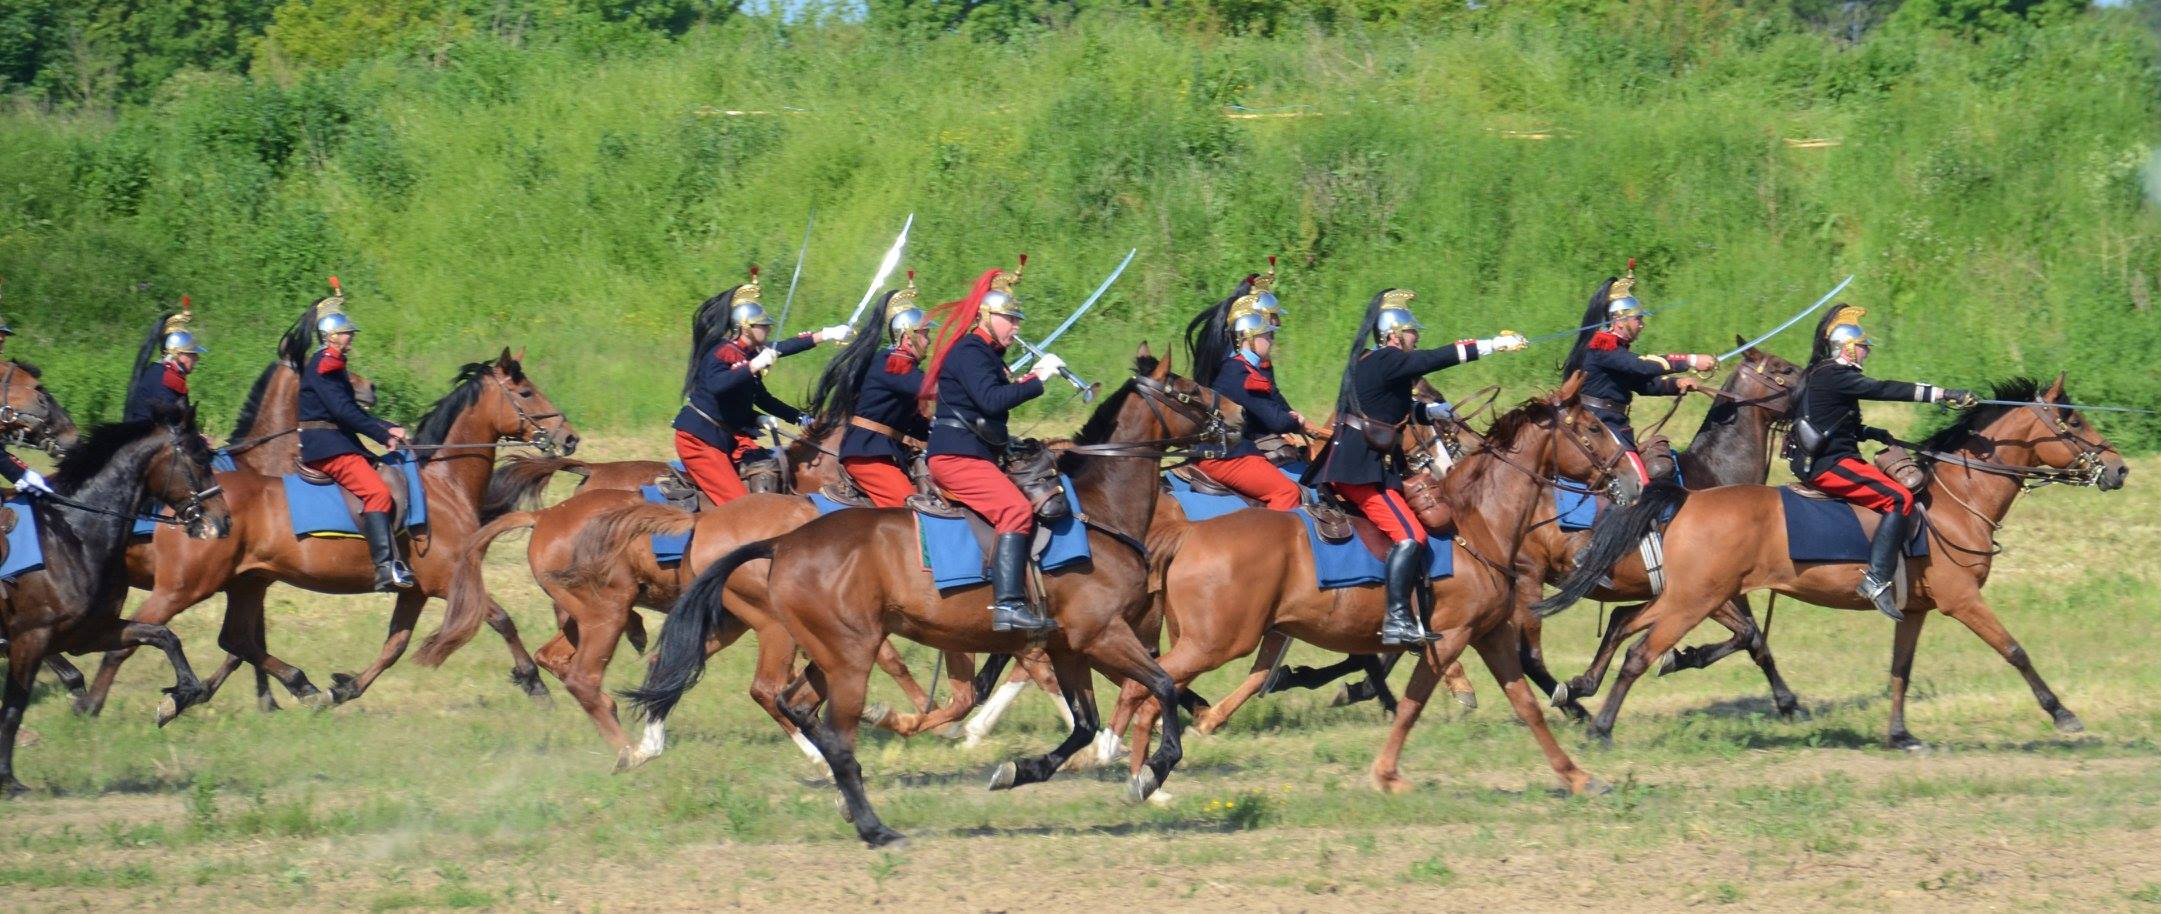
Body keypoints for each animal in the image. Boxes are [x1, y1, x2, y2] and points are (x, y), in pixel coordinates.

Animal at [1, 408, 232, 795]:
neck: (73, 536)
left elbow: (164, 637)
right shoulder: (31, 639)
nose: (223, 521)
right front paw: (8, 780)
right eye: (200, 459)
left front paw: (177, 699)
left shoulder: (89, 633)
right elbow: (13, 709)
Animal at [78, 350, 583, 717]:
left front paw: (344, 689)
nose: (570, 437)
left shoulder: (414, 590)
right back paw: (101, 702)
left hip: (245, 583)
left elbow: (395, 645)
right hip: (185, 586)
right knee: (139, 634)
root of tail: (190, 505)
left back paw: (293, 686)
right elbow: (500, 619)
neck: (442, 483)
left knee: (234, 640)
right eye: (525, 391)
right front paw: (534, 682)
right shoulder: (449, 580)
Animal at [1538, 375, 2126, 747]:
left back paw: (1587, 693)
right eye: (2073, 420)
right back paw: (1601, 725)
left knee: (1624, 626)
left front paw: (1900, 735)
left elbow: (1900, 671)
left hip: (1688, 595)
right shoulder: (1963, 601)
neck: (1954, 502)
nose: (2119, 469)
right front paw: (2063, 714)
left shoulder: (1915, 611)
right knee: (1639, 651)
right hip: (1696, 600)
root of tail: (1685, 497)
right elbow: (2015, 651)